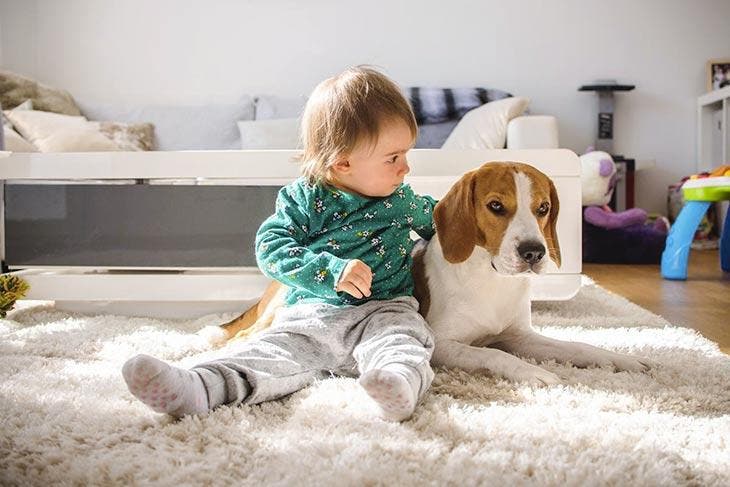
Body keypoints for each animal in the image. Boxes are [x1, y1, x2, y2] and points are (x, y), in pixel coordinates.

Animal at [215, 163, 648, 386]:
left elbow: (577, 347)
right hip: (278, 313)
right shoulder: (442, 344)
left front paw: (617, 359)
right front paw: (532, 372)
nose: (534, 252)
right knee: (242, 334)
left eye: (543, 208)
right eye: (496, 206)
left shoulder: (520, 336)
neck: (490, 279)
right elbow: (490, 353)